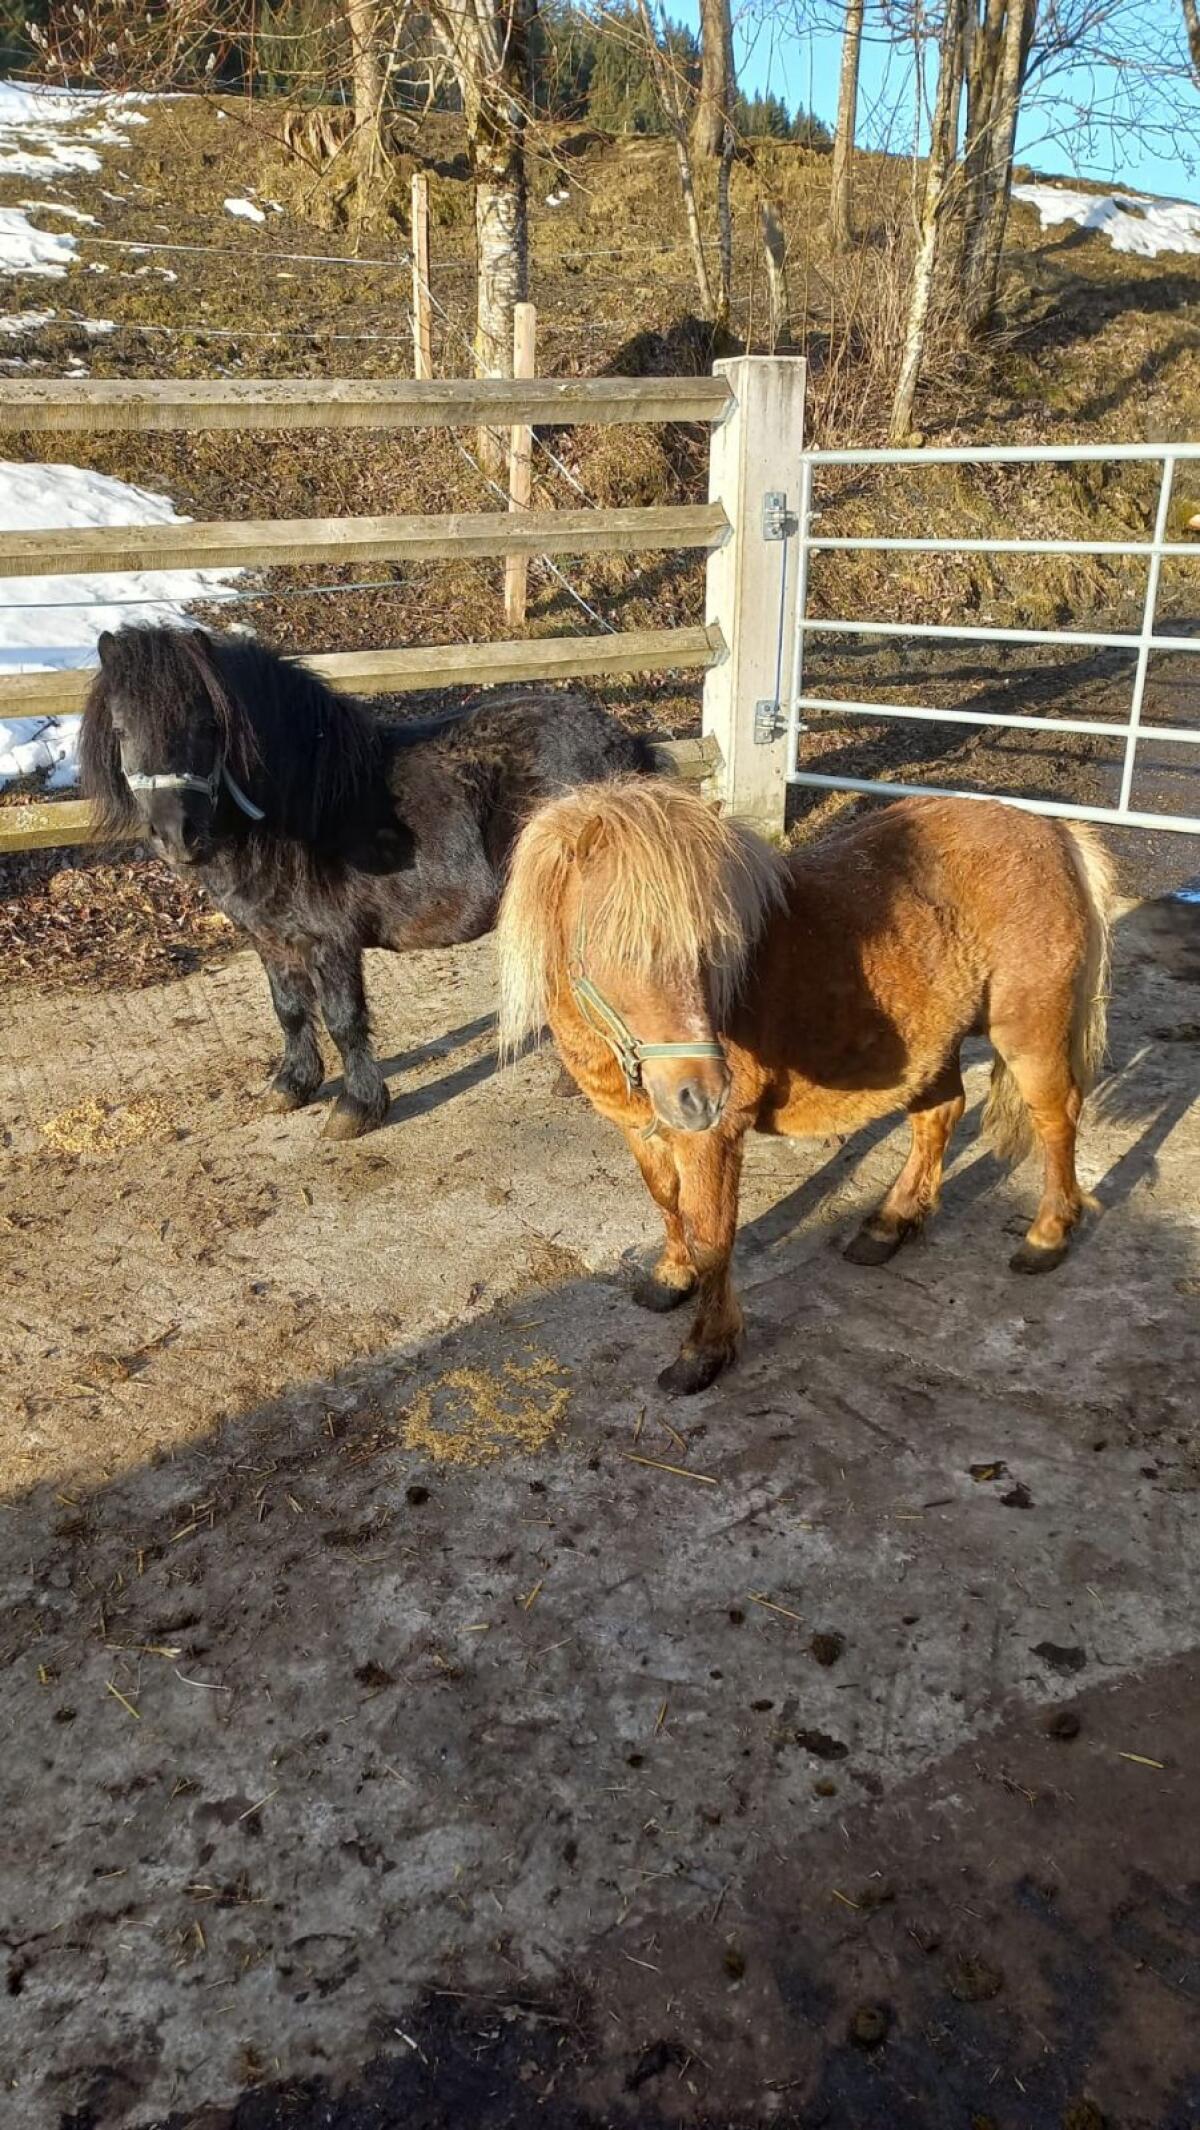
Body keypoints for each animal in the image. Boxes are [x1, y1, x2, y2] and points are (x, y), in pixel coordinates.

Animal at [79, 624, 655, 1138]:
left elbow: (343, 1019)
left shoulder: (330, 940)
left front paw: (356, 1107)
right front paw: (292, 1085)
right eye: (121, 730)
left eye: (206, 725)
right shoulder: (270, 939)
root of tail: (625, 745)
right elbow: (289, 1010)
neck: (303, 807)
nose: (176, 834)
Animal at [496, 778, 1114, 1395]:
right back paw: (888, 1225)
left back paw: (1046, 1238)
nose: (702, 1095)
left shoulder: (712, 1139)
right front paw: (671, 1277)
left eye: (711, 948)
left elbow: (711, 1232)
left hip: (1028, 1035)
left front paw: (706, 1350)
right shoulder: (639, 1128)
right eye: (616, 949)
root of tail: (1054, 832)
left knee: (1056, 1118)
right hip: (933, 1043)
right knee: (940, 1115)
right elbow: (666, 1200)